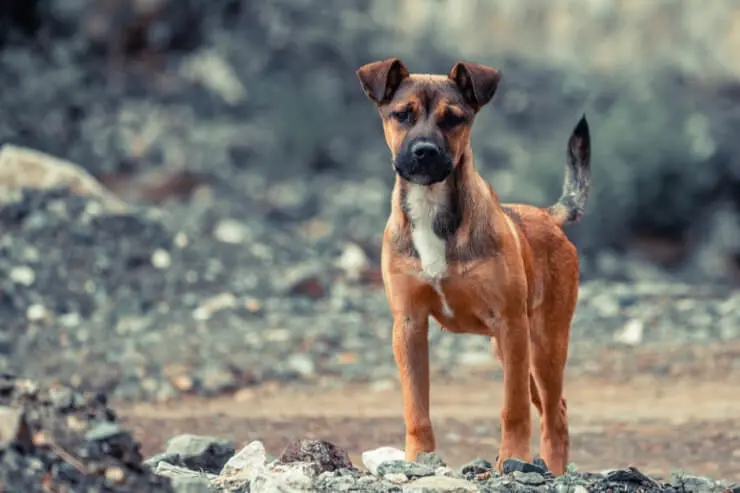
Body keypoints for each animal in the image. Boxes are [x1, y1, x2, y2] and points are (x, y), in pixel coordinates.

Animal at [356, 55, 592, 474]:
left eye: (455, 118)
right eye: (402, 114)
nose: (424, 151)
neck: (432, 207)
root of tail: (548, 216)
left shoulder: (510, 323)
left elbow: (513, 407)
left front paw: (513, 458)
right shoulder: (409, 325)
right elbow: (416, 407)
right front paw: (419, 459)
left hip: (543, 342)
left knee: (553, 414)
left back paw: (552, 470)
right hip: (517, 349)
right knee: (555, 407)